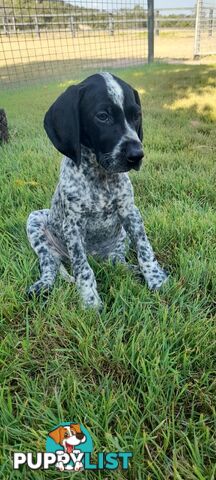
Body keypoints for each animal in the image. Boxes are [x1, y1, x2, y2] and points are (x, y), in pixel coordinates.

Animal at [27, 73, 168, 310]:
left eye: (136, 115)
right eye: (102, 116)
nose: (137, 155)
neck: (101, 177)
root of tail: (97, 257)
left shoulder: (131, 213)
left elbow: (145, 249)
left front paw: (157, 280)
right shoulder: (72, 226)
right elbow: (83, 269)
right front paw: (90, 302)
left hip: (121, 238)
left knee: (116, 261)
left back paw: (131, 270)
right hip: (35, 222)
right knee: (50, 264)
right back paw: (43, 285)